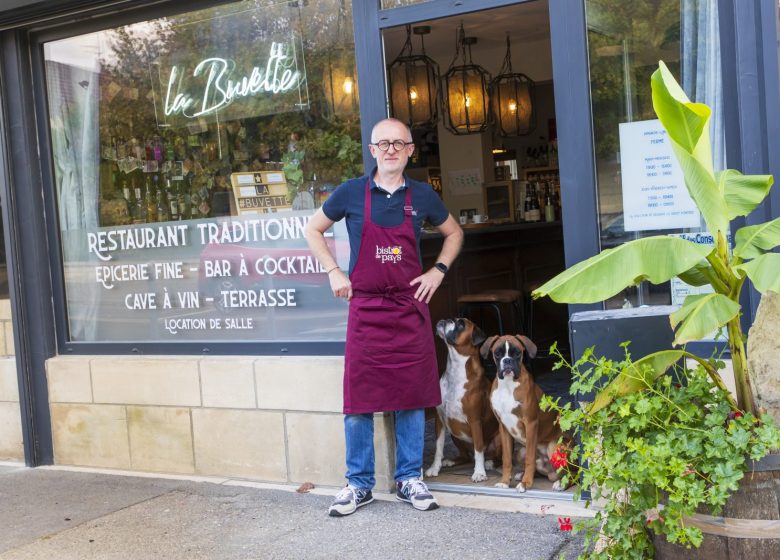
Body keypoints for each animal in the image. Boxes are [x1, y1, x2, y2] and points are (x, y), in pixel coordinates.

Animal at [426, 318, 500, 484]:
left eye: (461, 325)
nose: (446, 320)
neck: (455, 368)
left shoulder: (475, 421)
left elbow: (478, 448)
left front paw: (479, 472)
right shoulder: (440, 420)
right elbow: (438, 447)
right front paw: (435, 468)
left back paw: (490, 463)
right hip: (455, 433)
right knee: (466, 456)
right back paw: (452, 461)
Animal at [478, 334, 568, 492]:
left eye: (517, 353)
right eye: (497, 353)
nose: (507, 360)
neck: (508, 384)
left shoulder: (531, 423)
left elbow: (530, 459)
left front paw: (526, 483)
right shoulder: (503, 427)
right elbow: (506, 458)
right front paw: (505, 481)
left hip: (554, 447)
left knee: (574, 472)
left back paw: (561, 484)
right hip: (520, 452)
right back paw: (521, 474)